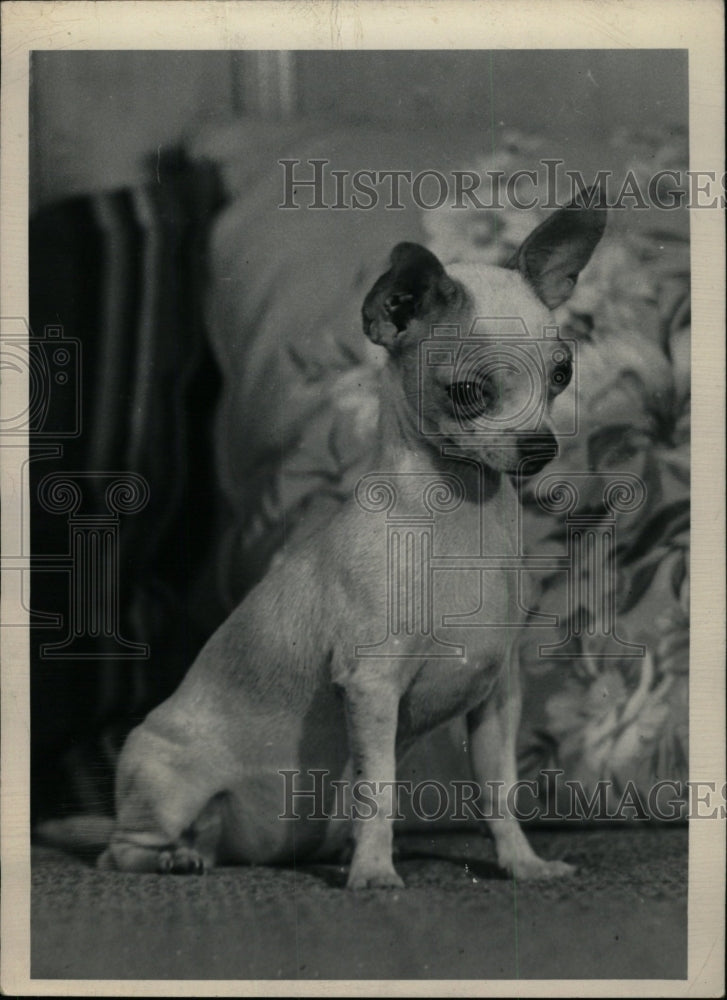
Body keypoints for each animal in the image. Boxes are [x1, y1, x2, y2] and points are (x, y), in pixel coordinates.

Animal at [99, 195, 604, 892]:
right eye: (469, 393)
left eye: (561, 374)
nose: (541, 447)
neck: (457, 518)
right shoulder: (371, 688)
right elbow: (379, 789)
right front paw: (373, 873)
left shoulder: (496, 700)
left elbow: (499, 792)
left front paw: (521, 863)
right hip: (164, 780)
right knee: (120, 851)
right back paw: (175, 857)